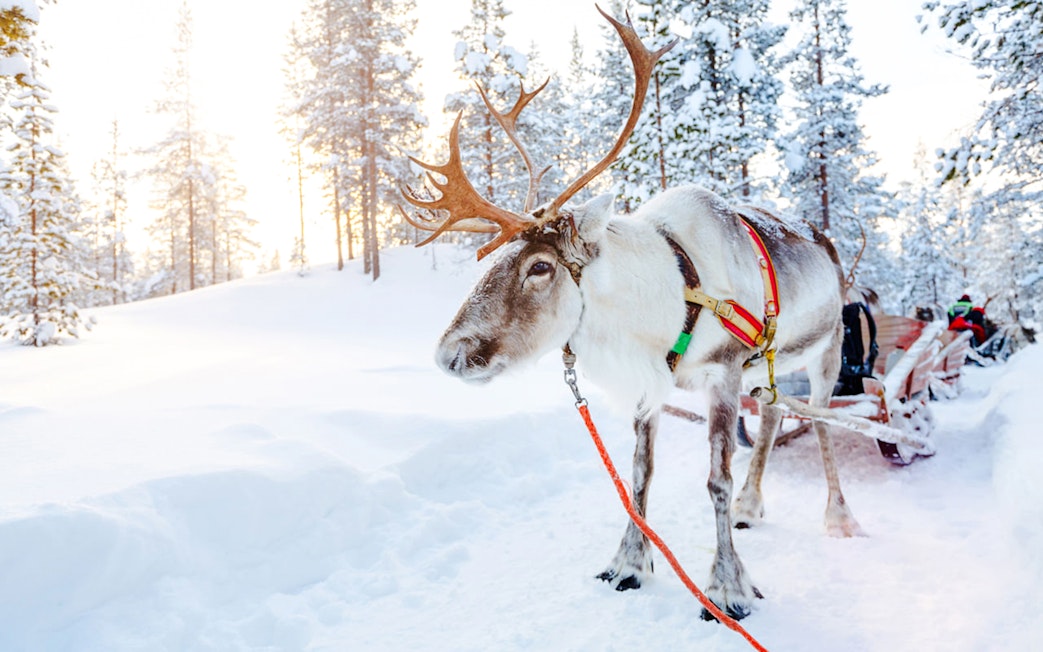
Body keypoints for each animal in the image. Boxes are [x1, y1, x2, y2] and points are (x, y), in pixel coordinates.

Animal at [401, 7, 864, 622]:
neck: (670, 294)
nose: (447, 354)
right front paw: (627, 564)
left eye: (540, 267)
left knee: (821, 420)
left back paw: (839, 515)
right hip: (769, 366)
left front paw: (728, 589)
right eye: (497, 259)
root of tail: (826, 241)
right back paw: (752, 505)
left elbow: (715, 478)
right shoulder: (655, 380)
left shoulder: (724, 371)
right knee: (771, 415)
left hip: (827, 348)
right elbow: (640, 472)